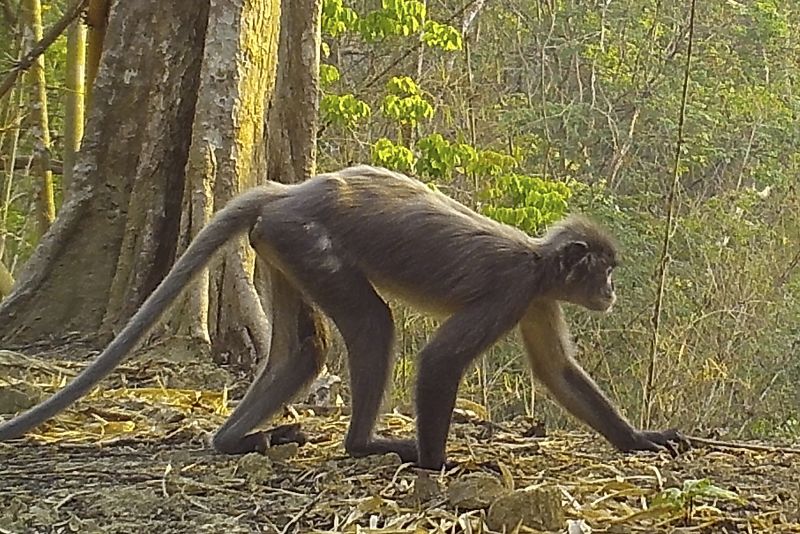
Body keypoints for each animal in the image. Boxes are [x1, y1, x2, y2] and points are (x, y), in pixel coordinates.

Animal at [0, 166, 680, 468]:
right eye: (604, 271)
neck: (539, 261)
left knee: (304, 351)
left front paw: (640, 440)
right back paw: (364, 444)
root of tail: (291, 190)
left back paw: (238, 440)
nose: (610, 292)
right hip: (308, 240)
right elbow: (439, 359)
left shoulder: (537, 295)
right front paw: (435, 464)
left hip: (281, 244)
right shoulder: (515, 288)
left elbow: (558, 373)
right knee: (375, 326)